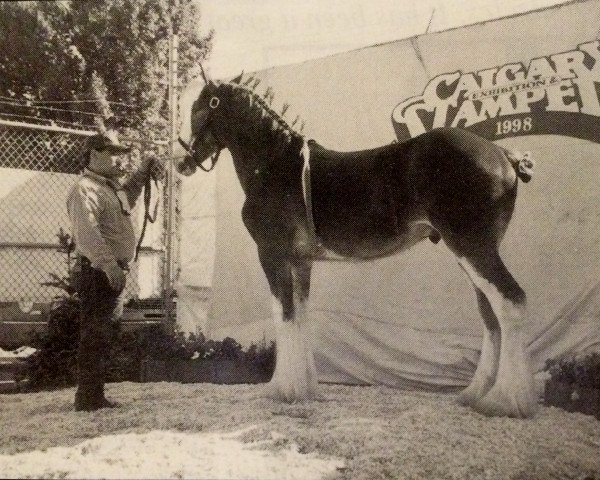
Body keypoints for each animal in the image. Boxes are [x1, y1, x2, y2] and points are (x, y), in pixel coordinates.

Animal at [175, 70, 540, 416]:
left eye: (198, 108)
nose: (182, 162)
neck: (274, 165)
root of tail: (503, 154)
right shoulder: (300, 261)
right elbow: (302, 315)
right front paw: (305, 387)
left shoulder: (272, 254)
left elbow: (284, 316)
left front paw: (283, 389)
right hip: (475, 253)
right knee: (490, 315)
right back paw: (475, 394)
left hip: (472, 248)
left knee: (511, 302)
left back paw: (505, 402)